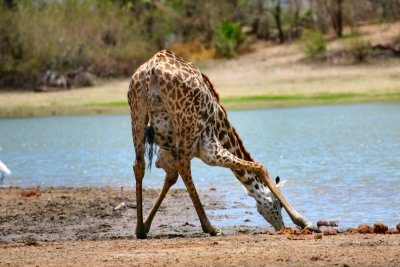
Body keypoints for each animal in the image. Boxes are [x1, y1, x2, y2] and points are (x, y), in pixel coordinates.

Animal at [126, 49, 318, 239]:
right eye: (277, 205)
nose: (281, 227)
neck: (222, 128)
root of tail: (153, 67)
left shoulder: (167, 152)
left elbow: (171, 178)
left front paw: (146, 226)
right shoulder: (207, 148)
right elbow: (260, 166)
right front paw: (306, 222)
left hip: (137, 114)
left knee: (139, 165)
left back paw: (139, 229)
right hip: (185, 126)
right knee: (184, 166)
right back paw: (210, 228)